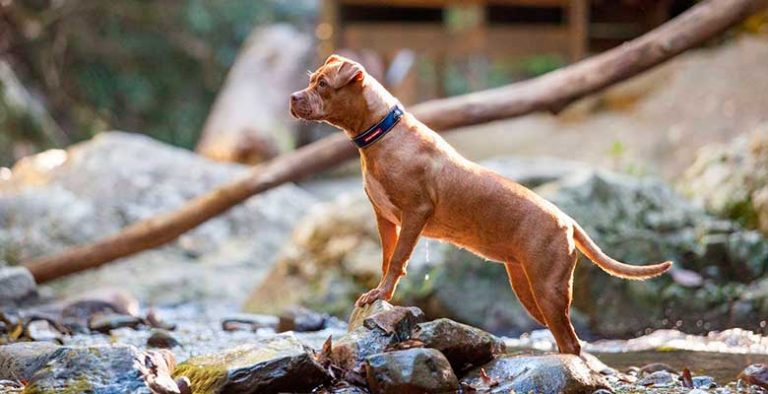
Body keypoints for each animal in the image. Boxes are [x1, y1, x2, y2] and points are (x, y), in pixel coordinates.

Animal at [290, 54, 672, 354]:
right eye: (310, 80)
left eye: (323, 84)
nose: (293, 97)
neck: (382, 133)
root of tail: (567, 221)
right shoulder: (385, 217)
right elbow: (387, 258)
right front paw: (381, 293)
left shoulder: (415, 213)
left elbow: (398, 259)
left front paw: (381, 291)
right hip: (529, 289)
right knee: (566, 341)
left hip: (549, 290)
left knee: (572, 343)